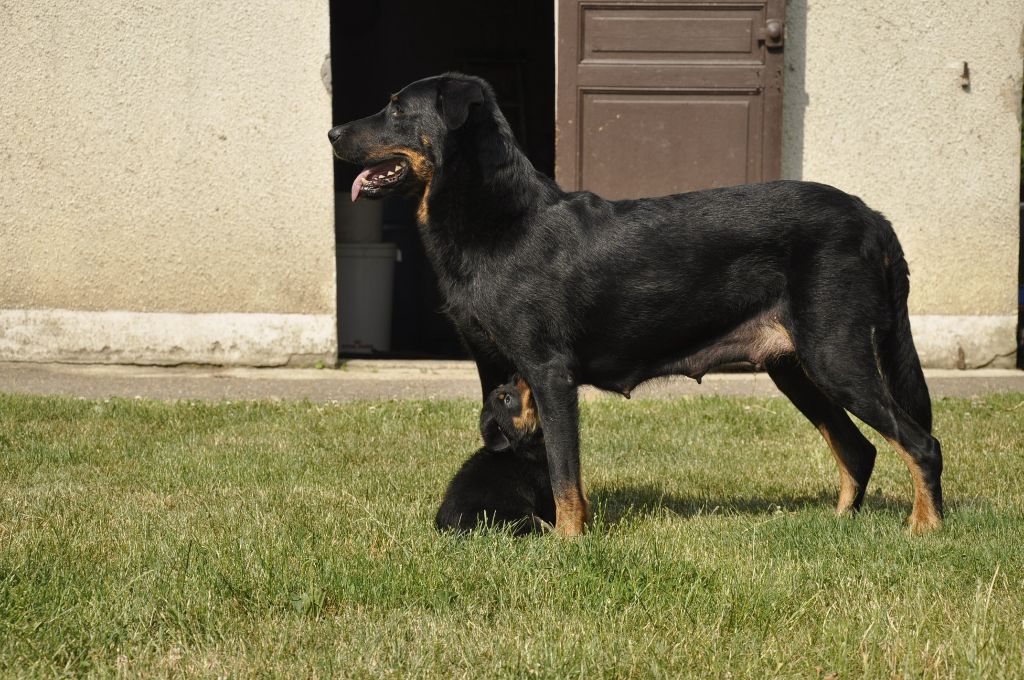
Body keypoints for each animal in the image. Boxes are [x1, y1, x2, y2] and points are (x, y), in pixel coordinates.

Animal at [436, 376, 557, 536]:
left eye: (505, 385)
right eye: (507, 399)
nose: (518, 375)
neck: (523, 443)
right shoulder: (544, 486)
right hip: (519, 519)